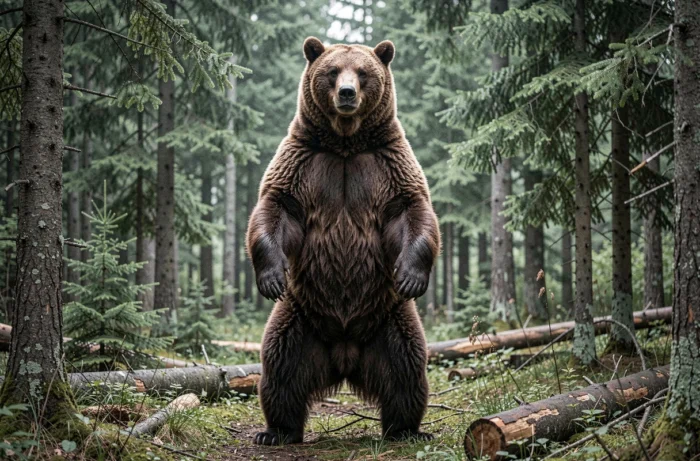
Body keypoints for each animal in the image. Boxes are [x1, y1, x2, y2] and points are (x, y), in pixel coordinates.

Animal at [246, 36, 440, 446]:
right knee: (279, 368)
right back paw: (276, 430)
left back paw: (407, 429)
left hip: (390, 319)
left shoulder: (387, 162)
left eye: (363, 72)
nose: (347, 93)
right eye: (333, 71)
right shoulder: (303, 161)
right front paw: (270, 277)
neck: (346, 142)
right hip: (298, 318)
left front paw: (411, 276)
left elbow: (411, 210)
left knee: (407, 369)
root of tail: (345, 353)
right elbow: (277, 208)